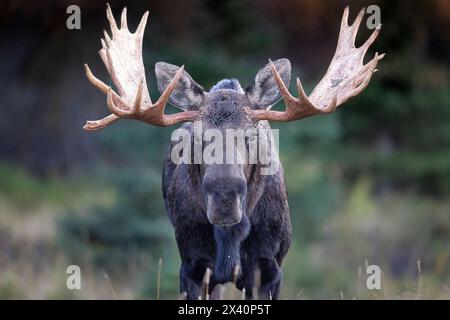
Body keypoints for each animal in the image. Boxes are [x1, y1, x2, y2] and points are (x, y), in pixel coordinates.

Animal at [83, 4, 384, 300]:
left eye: (251, 135)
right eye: (198, 137)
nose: (224, 196)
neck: (231, 237)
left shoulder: (269, 269)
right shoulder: (192, 267)